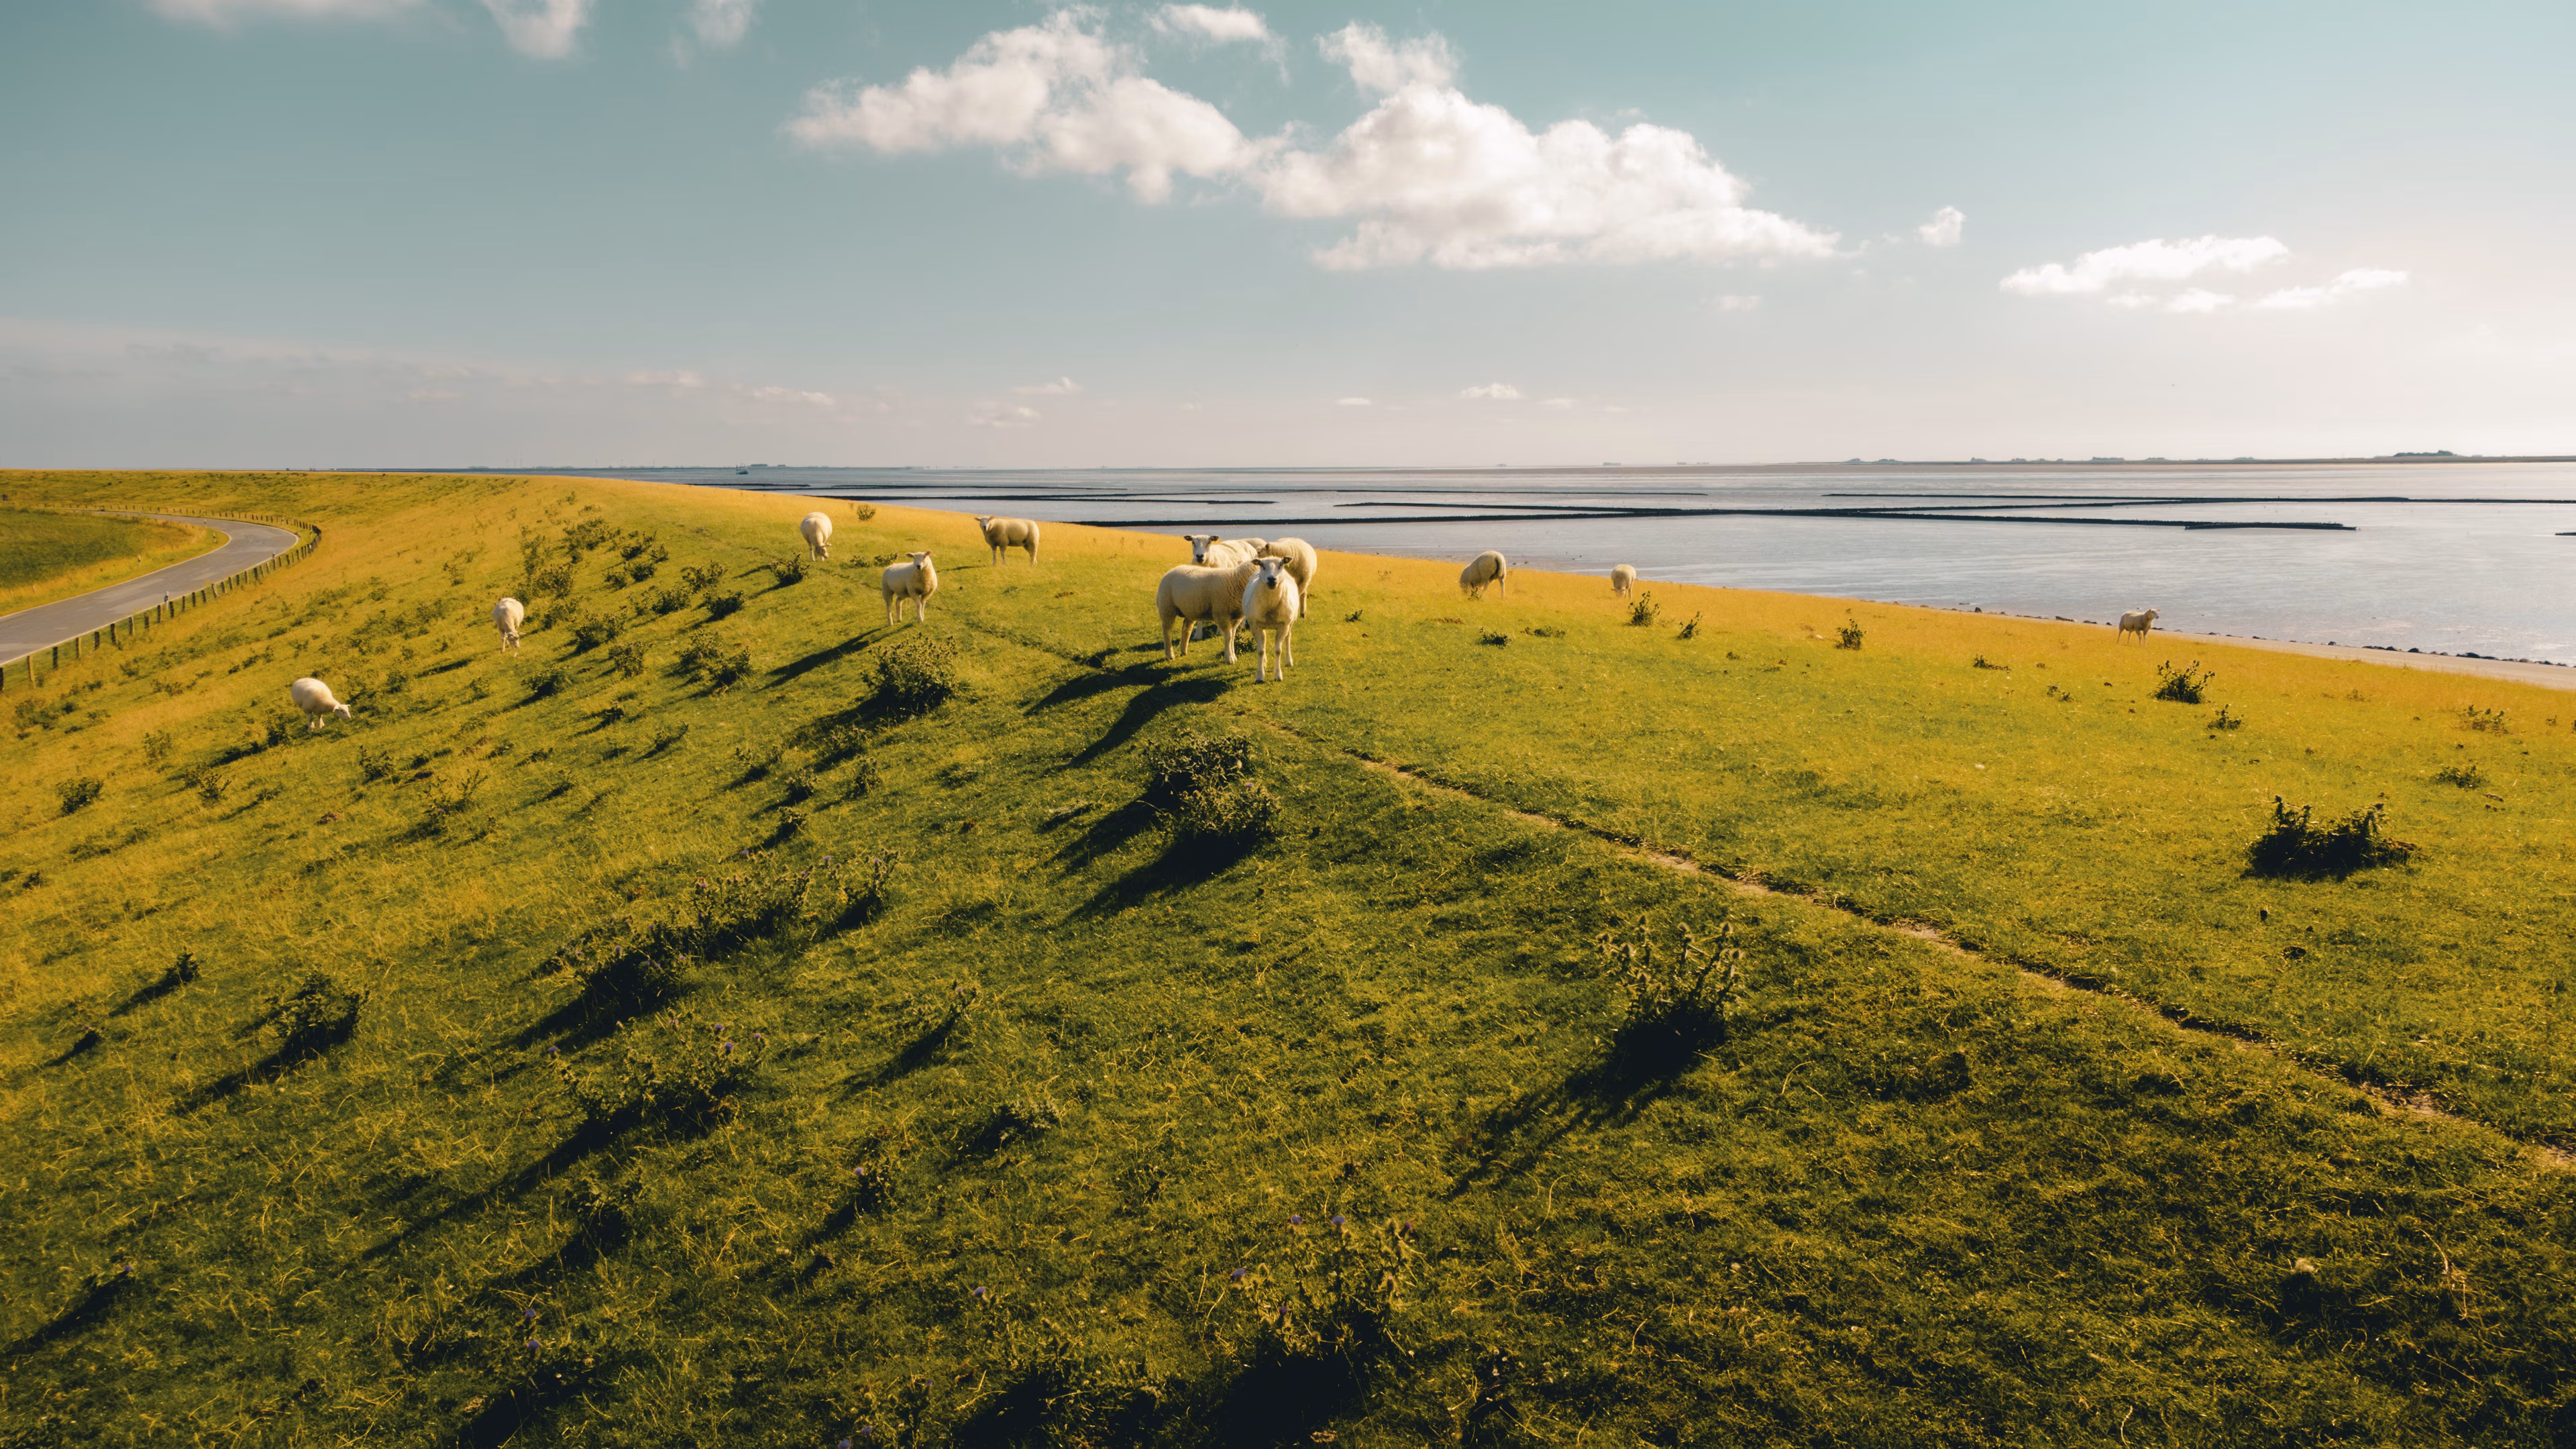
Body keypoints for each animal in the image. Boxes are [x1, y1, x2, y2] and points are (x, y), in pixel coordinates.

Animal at [1156, 560, 1258, 661]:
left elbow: (1232, 636)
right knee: (1167, 632)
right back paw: (1170, 655)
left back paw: (1183, 651)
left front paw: (1232, 656)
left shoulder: (1236, 617)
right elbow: (1228, 636)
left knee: (1186, 628)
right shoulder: (1222, 614)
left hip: (1190, 609)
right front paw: (1229, 658)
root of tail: (1171, 571)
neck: (1235, 580)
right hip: (1167, 607)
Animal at [1241, 557, 1301, 682]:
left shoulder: (1283, 625)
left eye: (1281, 564)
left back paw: (1289, 661)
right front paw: (1260, 676)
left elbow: (1278, 650)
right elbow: (1260, 650)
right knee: (1263, 642)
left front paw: (1278, 675)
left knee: (1288, 639)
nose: (1272, 579)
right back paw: (1264, 663)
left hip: (1290, 623)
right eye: (1262, 565)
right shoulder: (1255, 625)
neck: (1271, 606)